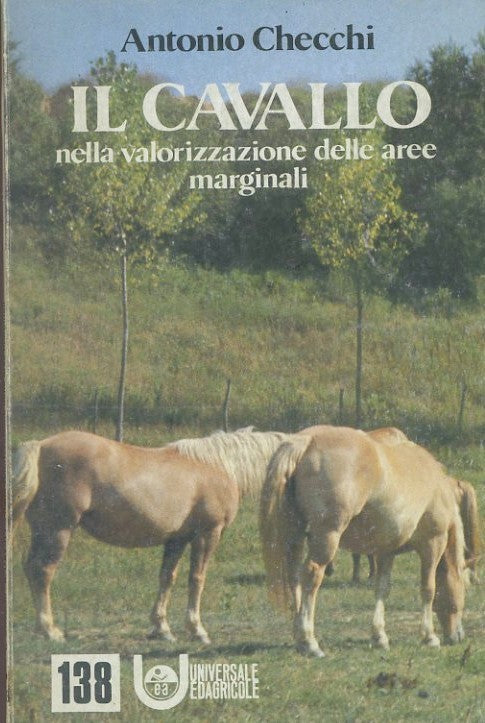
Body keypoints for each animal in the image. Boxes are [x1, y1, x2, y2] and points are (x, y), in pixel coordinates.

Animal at [11, 427, 289, 643]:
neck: (219, 466)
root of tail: (41, 446)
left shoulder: (177, 539)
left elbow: (167, 578)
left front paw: (162, 628)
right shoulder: (208, 533)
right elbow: (197, 579)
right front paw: (197, 629)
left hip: (43, 531)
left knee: (30, 567)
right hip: (58, 530)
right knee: (43, 571)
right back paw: (50, 630)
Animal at [260, 425, 481, 657]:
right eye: (464, 589)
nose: (457, 637)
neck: (437, 487)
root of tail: (307, 439)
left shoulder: (385, 551)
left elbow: (382, 588)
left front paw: (379, 636)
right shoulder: (432, 544)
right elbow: (428, 589)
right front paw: (429, 636)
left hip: (296, 535)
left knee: (294, 576)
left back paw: (298, 637)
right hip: (326, 537)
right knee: (312, 575)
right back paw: (309, 641)